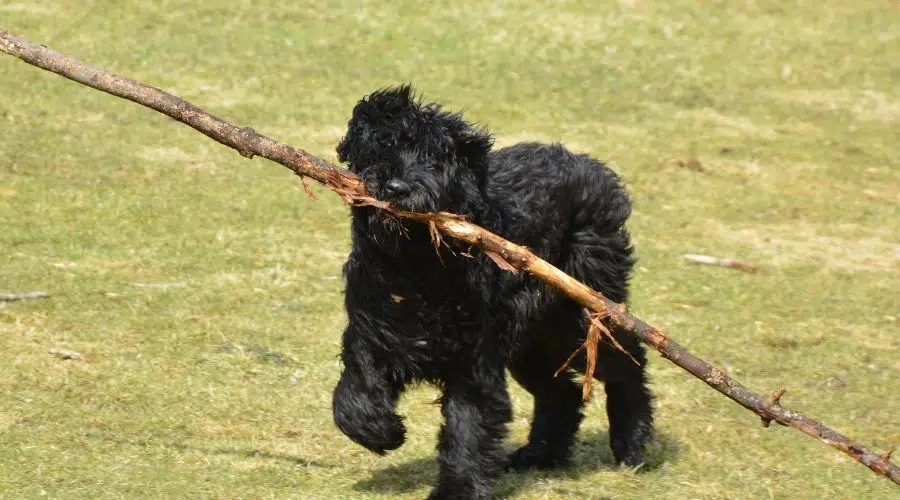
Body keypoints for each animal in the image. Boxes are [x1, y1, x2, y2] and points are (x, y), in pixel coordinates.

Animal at [330, 84, 652, 498]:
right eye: (382, 146)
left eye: (436, 158)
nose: (396, 188)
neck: (416, 267)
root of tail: (592, 169)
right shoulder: (373, 335)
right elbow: (353, 397)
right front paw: (384, 431)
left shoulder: (474, 363)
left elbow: (469, 427)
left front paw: (458, 489)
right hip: (532, 343)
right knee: (560, 392)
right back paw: (539, 455)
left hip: (576, 322)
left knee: (629, 362)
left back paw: (633, 444)